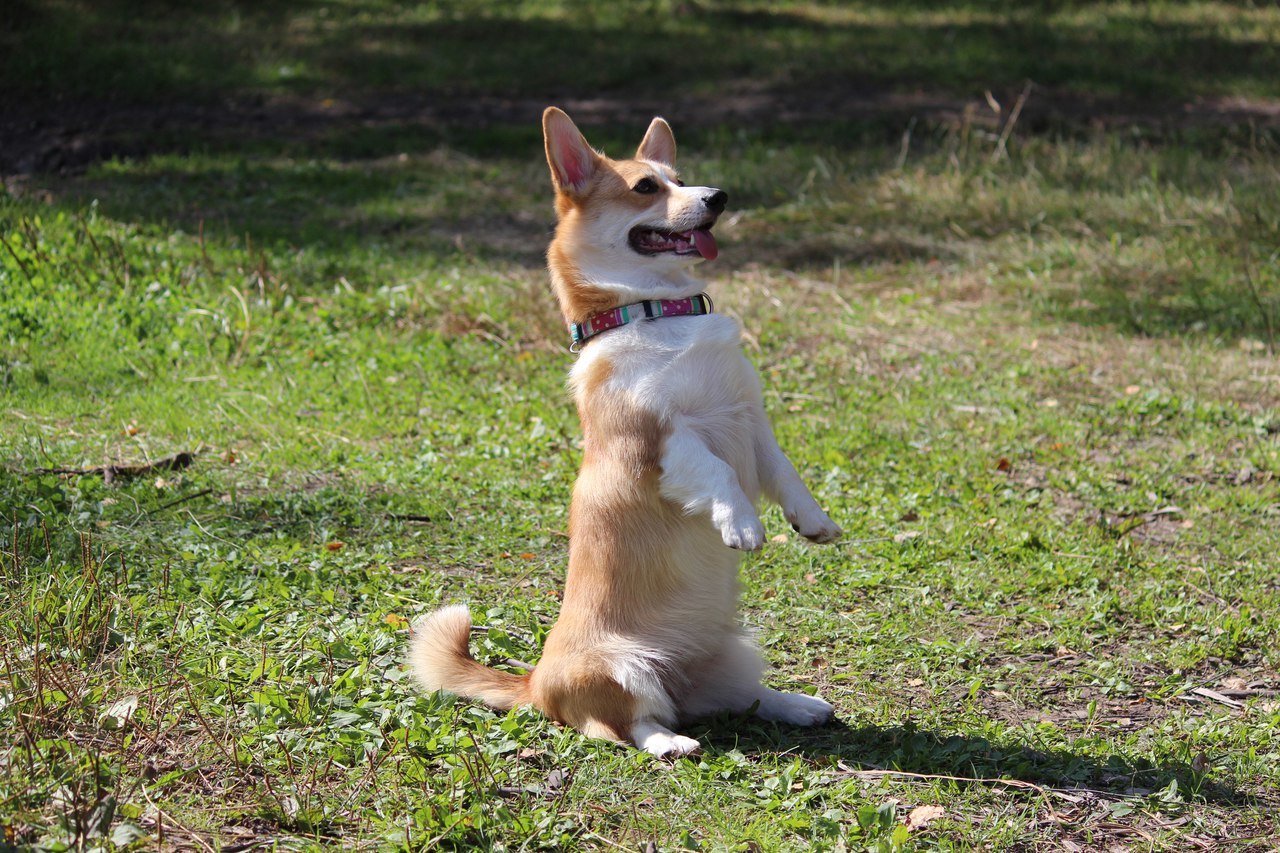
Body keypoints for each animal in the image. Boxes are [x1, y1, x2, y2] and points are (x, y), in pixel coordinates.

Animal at [409, 108, 844, 758]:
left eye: (681, 179)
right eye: (646, 188)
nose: (718, 196)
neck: (660, 313)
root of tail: (534, 683)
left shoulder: (751, 418)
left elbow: (785, 472)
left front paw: (814, 522)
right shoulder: (658, 438)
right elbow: (717, 470)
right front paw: (741, 524)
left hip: (738, 653)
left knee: (738, 699)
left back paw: (797, 704)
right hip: (621, 668)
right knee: (620, 724)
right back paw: (670, 743)